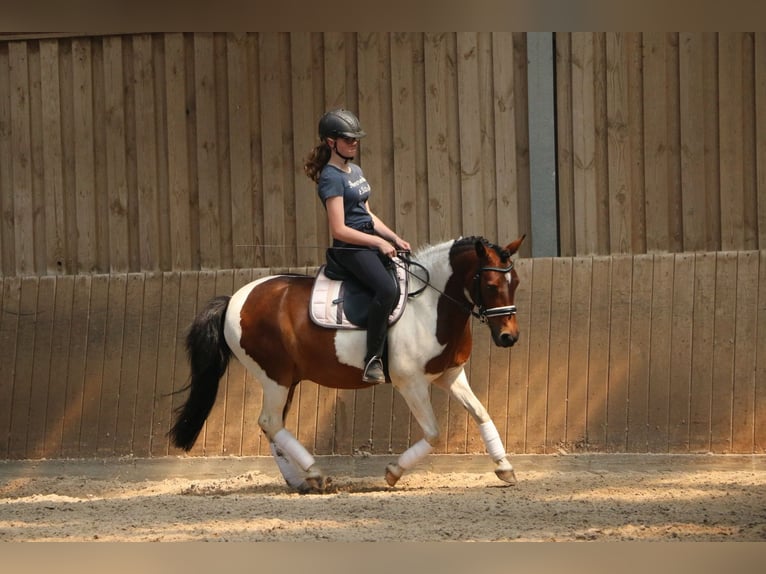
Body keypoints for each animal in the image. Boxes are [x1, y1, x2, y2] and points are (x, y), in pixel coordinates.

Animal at [168, 235, 528, 496]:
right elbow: (434, 433)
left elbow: (481, 414)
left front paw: (505, 468)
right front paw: (393, 472)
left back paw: (299, 481)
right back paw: (315, 474)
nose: (509, 337)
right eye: (492, 286)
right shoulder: (410, 383)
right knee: (270, 422)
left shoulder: (450, 375)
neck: (430, 305)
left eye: (516, 283)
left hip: (285, 381)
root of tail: (234, 299)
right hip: (275, 377)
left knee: (272, 426)